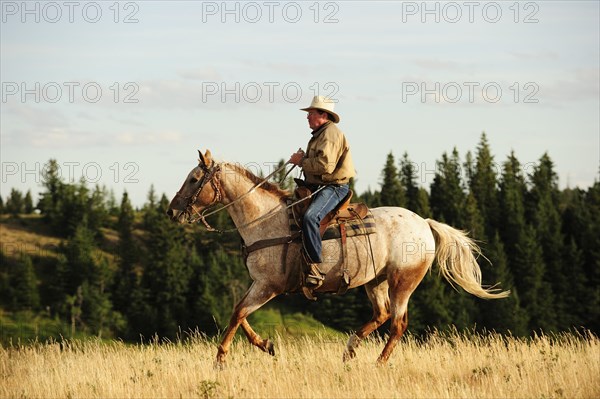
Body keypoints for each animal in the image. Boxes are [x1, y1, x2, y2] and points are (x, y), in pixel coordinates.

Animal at [166, 149, 508, 366]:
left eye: (194, 178)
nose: (171, 211)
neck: (264, 219)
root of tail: (424, 223)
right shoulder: (259, 285)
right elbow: (239, 312)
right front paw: (267, 346)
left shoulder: (268, 286)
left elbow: (238, 313)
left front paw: (221, 358)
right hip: (375, 281)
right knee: (382, 315)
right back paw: (350, 349)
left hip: (403, 282)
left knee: (397, 323)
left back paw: (378, 363)